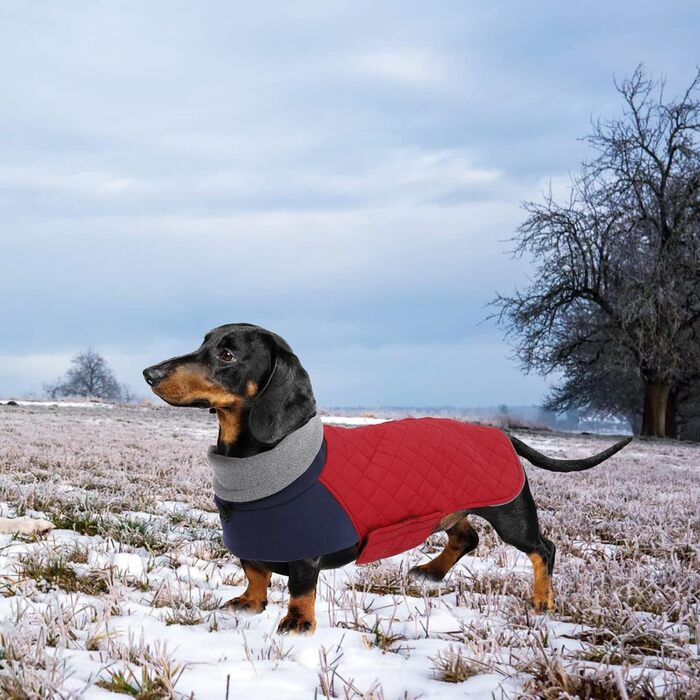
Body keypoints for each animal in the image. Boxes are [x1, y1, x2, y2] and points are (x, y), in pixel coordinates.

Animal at [145, 322, 632, 636]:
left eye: (227, 354)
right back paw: (431, 571)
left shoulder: (306, 549)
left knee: (542, 549)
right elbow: (254, 571)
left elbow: (300, 588)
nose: (149, 373)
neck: (255, 458)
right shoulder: (253, 539)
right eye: (203, 342)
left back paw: (542, 600)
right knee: (466, 538)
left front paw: (298, 622)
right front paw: (250, 602)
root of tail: (501, 433)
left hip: (511, 512)